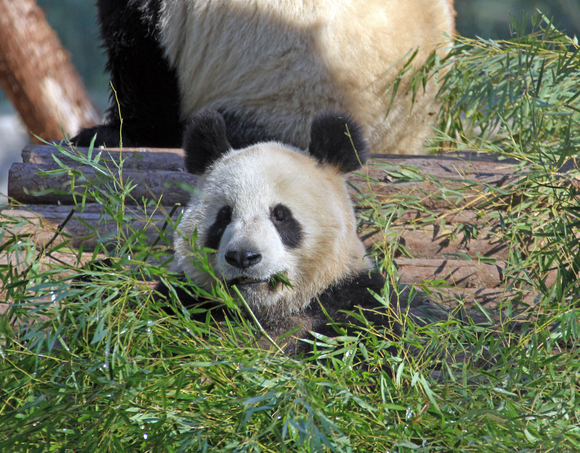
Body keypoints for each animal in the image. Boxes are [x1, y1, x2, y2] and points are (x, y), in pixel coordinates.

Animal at [155, 109, 404, 354]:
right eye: (224, 217)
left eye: (281, 216)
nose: (243, 257)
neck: (265, 312)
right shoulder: (184, 298)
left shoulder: (352, 297)